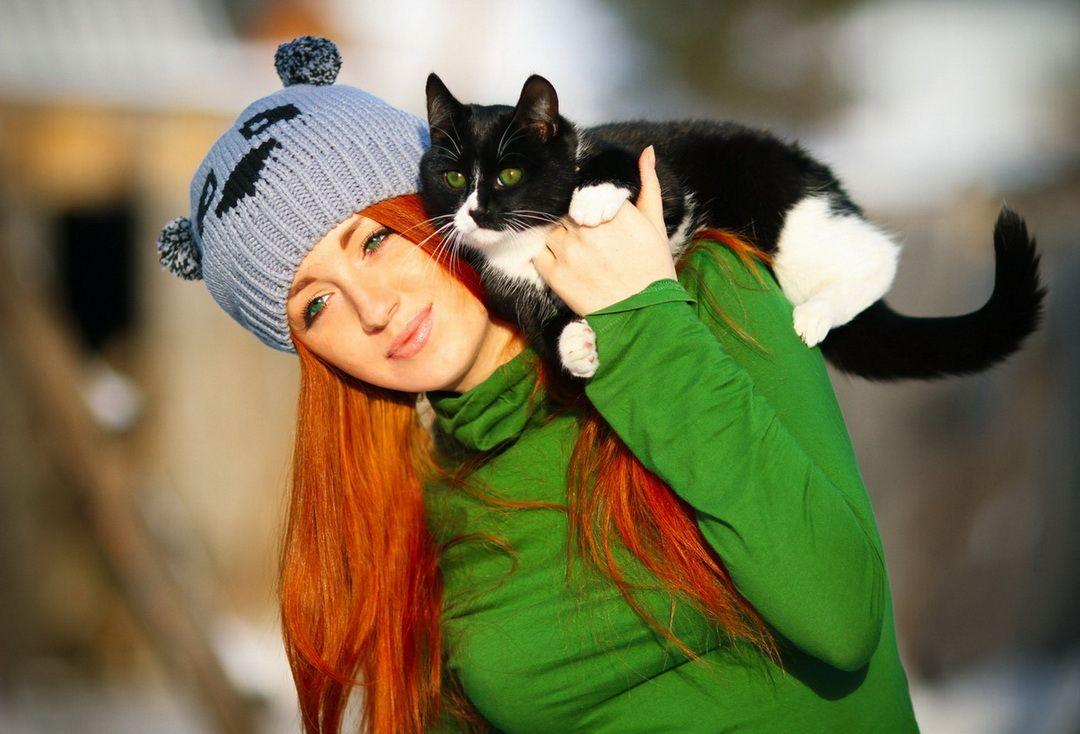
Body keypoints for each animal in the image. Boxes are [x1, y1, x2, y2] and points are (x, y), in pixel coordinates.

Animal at [418, 73, 1046, 381]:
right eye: (452, 176)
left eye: (510, 174)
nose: (474, 212)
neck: (526, 244)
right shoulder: (511, 290)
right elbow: (545, 326)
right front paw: (575, 348)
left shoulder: (657, 174)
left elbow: (630, 170)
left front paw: (591, 199)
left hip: (783, 209)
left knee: (877, 255)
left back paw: (816, 313)